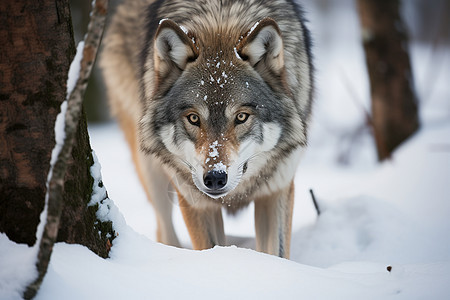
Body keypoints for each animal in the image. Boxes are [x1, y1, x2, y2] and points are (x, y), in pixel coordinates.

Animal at [101, 0, 312, 258]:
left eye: (241, 117)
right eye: (193, 118)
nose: (214, 178)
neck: (220, 19)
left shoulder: (276, 189)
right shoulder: (194, 199)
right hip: (151, 172)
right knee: (164, 230)